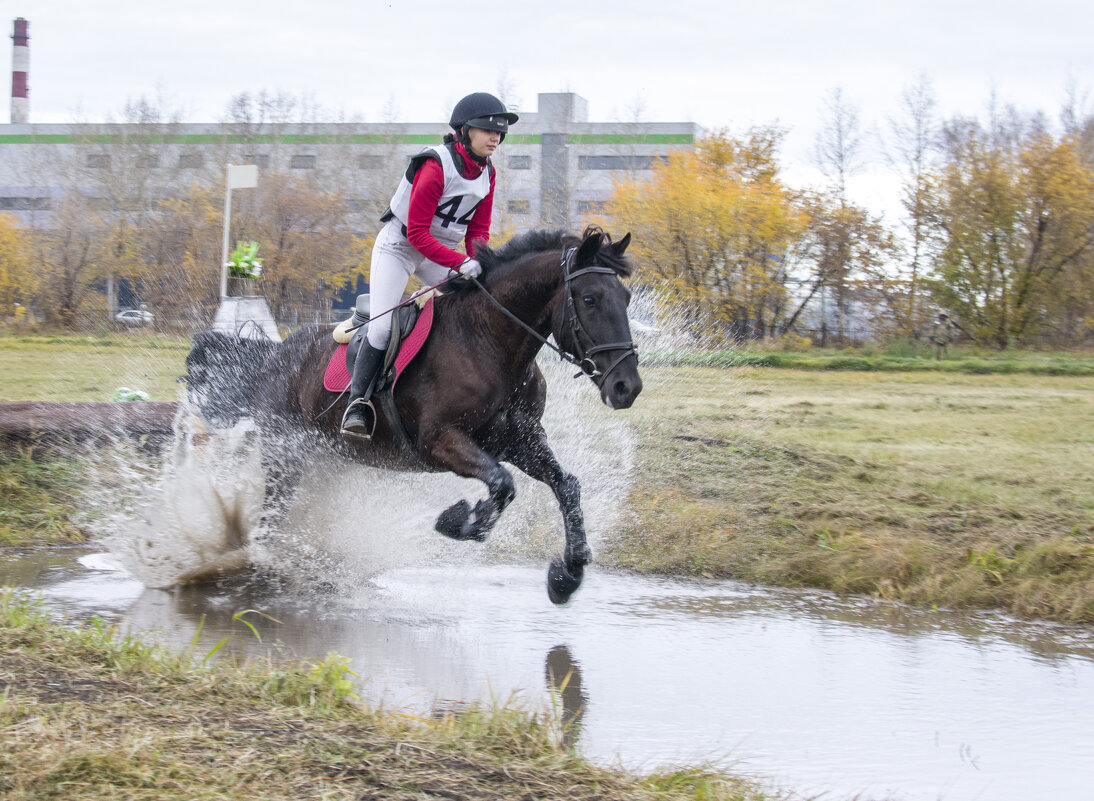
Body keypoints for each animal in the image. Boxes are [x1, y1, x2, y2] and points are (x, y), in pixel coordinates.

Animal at [188, 225, 638, 599]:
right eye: (590, 299)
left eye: (628, 298)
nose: (627, 387)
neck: (487, 341)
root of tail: (273, 354)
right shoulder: (440, 441)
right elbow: (502, 483)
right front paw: (459, 521)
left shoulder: (520, 439)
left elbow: (565, 485)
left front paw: (568, 575)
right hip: (285, 456)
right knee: (270, 518)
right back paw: (263, 571)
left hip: (326, 457)